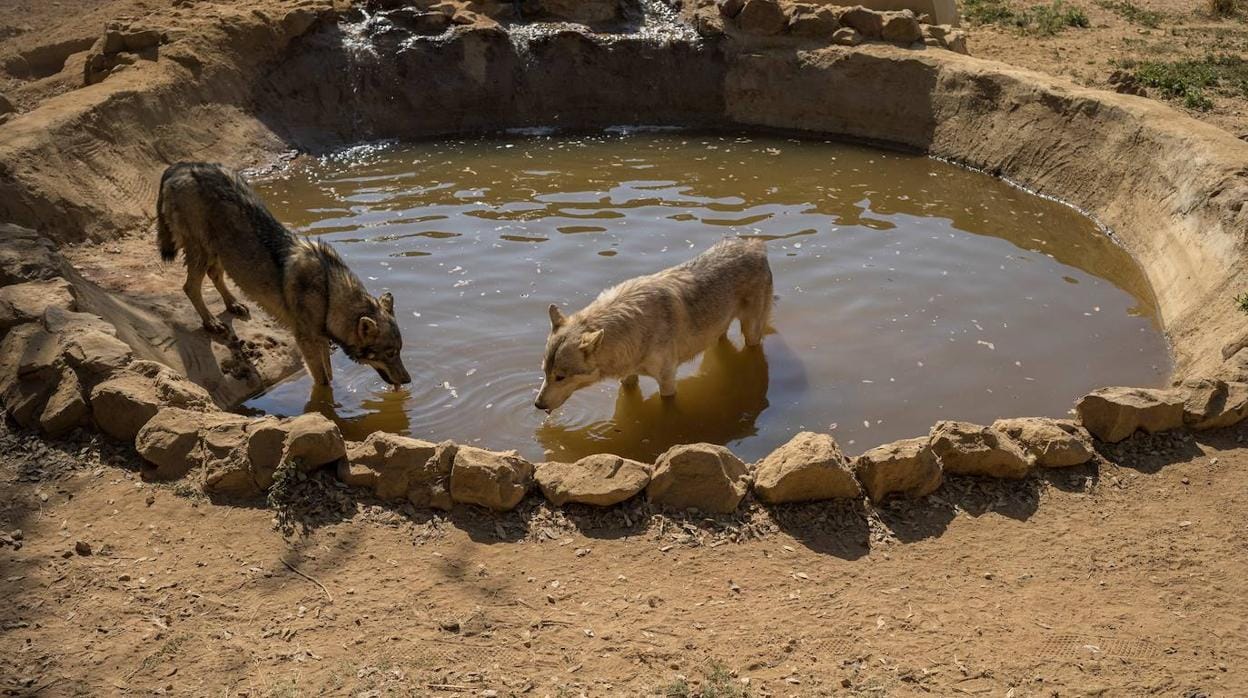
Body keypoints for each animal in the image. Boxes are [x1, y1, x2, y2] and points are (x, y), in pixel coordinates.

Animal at [154, 164, 411, 394]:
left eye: (400, 351)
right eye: (390, 354)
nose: (408, 380)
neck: (329, 294)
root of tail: (180, 166)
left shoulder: (320, 341)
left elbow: (329, 374)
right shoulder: (307, 341)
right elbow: (323, 381)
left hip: (219, 252)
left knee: (214, 275)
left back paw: (233, 304)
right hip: (202, 251)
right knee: (190, 287)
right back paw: (210, 322)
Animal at [534, 237, 768, 412]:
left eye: (560, 377)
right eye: (544, 372)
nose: (537, 405)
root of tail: (755, 244)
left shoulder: (668, 382)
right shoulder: (628, 378)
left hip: (750, 333)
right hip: (716, 333)